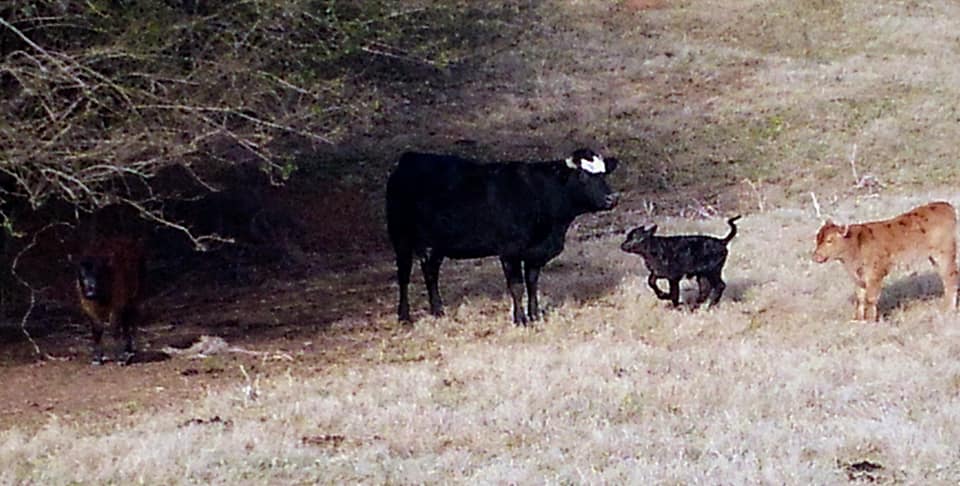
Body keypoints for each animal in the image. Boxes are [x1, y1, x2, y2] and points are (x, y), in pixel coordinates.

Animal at [74, 236, 146, 364]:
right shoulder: (87, 307)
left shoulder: (117, 305)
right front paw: (97, 358)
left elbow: (114, 329)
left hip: (136, 297)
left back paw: (130, 350)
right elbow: (97, 330)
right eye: (82, 277)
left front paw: (121, 358)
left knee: (131, 323)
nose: (90, 292)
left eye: (98, 275)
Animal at [386, 148, 619, 325]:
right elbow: (516, 286)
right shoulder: (510, 251)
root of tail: (410, 157)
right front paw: (520, 319)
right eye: (582, 175)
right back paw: (404, 316)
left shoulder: (535, 252)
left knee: (430, 272)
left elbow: (532, 283)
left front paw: (535, 315)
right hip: (401, 237)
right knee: (404, 275)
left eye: (604, 173)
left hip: (435, 244)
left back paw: (437, 310)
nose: (612, 198)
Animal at [812, 201, 959, 321]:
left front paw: (870, 320)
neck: (856, 243)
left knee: (951, 277)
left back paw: (948, 309)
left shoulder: (874, 275)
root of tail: (947, 207)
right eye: (817, 238)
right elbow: (860, 298)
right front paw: (857, 319)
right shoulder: (859, 278)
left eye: (829, 240)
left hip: (945, 255)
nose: (815, 256)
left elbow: (870, 299)